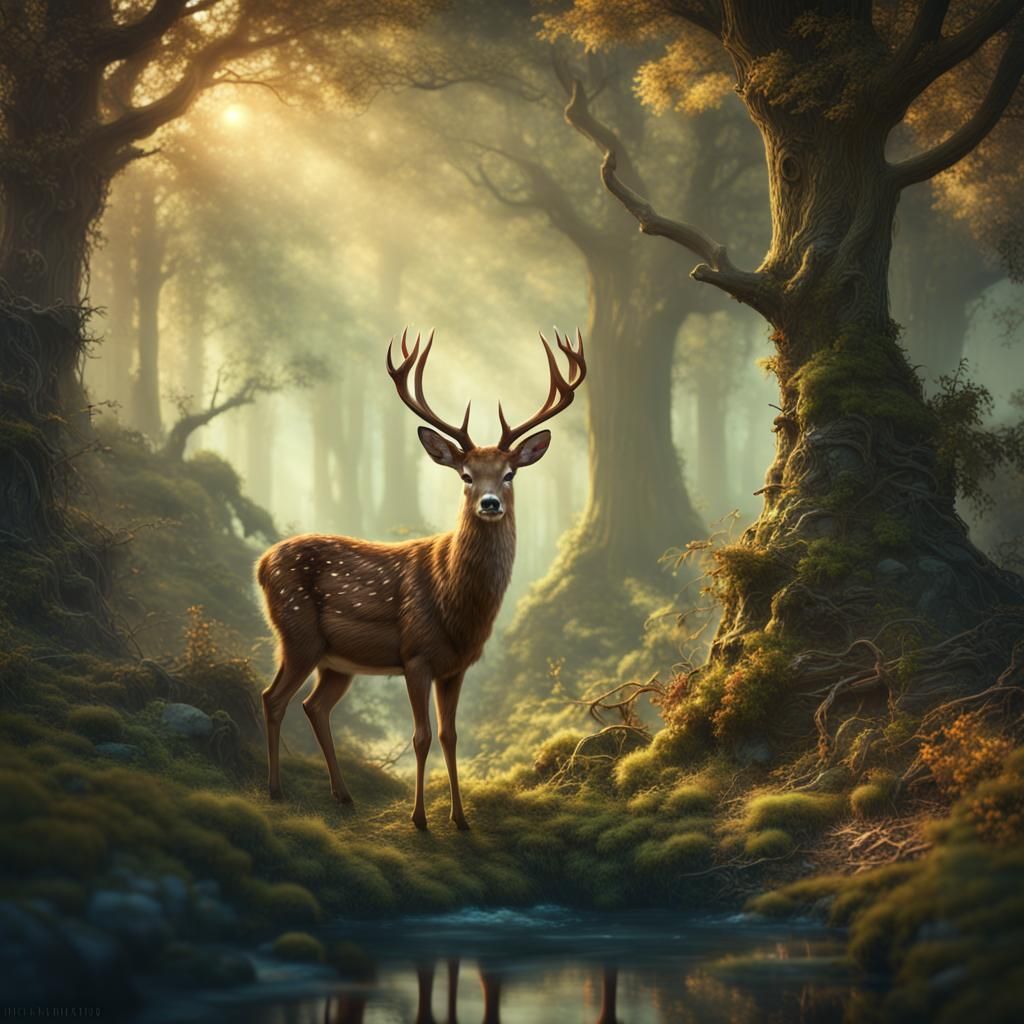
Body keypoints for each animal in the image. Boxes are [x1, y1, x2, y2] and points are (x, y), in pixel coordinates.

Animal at [256, 328, 586, 830]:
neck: (456, 607)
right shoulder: (415, 655)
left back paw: (343, 795)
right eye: (466, 475)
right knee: (273, 698)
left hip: (336, 660)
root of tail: (260, 565)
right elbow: (421, 736)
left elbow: (451, 735)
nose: (490, 503)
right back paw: (275, 790)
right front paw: (419, 819)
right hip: (297, 633)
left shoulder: (456, 666)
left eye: (510, 473)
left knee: (315, 705)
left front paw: (461, 818)